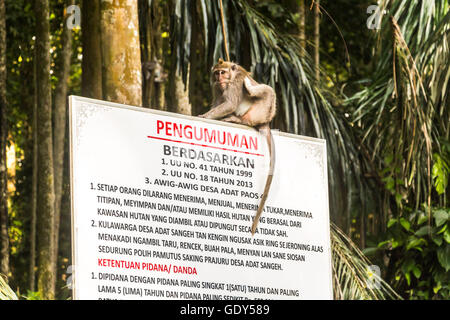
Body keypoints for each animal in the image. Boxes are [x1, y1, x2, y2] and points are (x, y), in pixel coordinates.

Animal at [200, 58, 276, 234]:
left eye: (223, 72)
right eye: (216, 73)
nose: (220, 78)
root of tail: (265, 122)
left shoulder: (235, 82)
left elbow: (229, 103)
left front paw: (203, 116)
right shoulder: (216, 86)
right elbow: (218, 102)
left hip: (262, 111)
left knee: (268, 91)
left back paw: (250, 91)